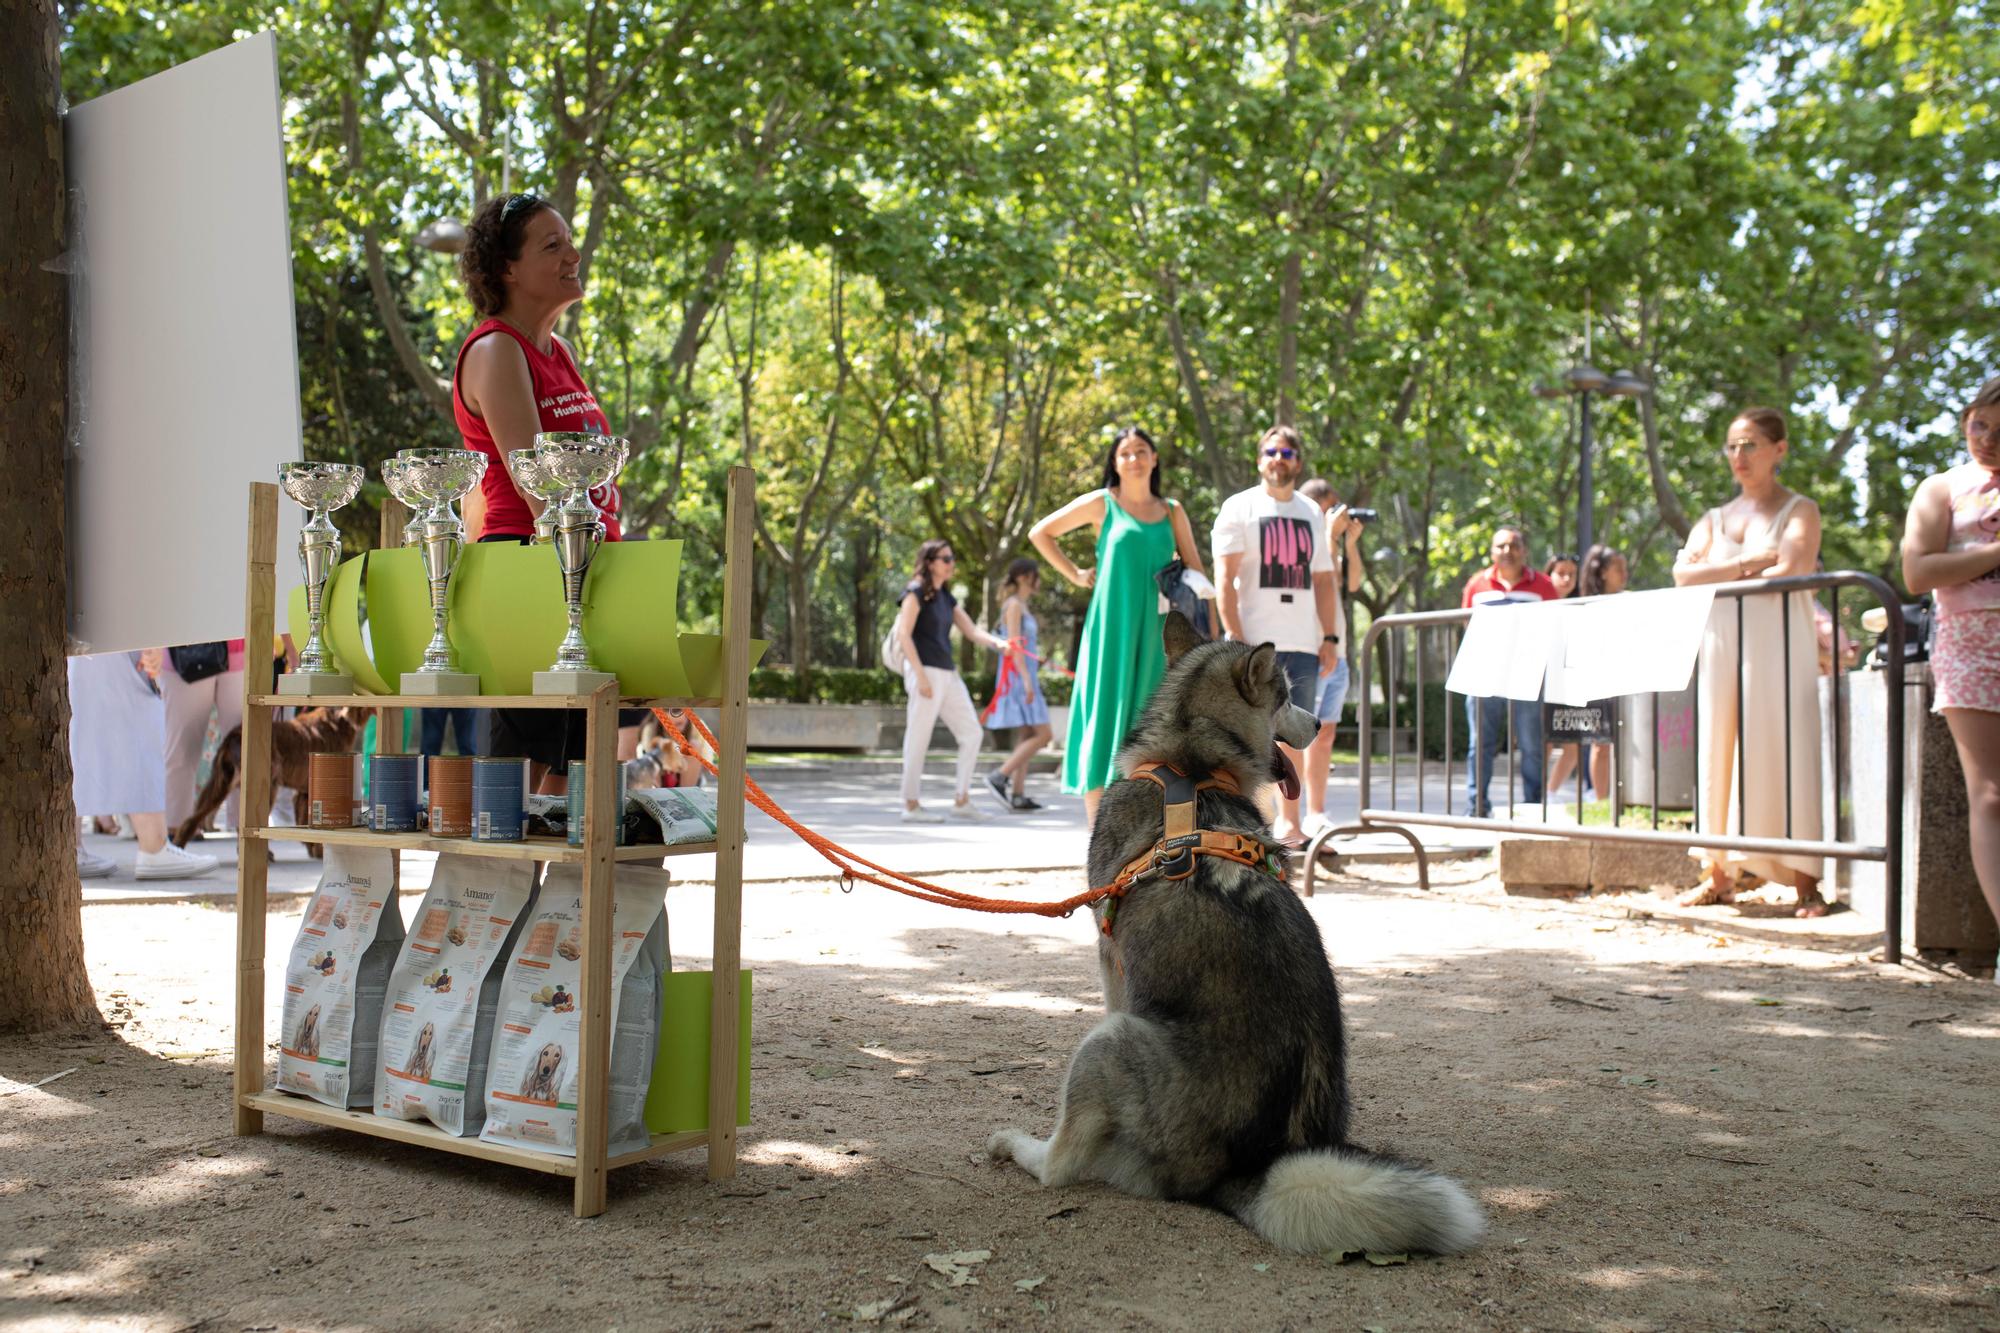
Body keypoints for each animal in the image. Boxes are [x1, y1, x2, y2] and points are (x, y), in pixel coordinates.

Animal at [173, 700, 360, 844]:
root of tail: (233, 736)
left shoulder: (304, 791)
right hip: (267, 786)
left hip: (221, 782)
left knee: (192, 818)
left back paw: (179, 844)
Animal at [988, 608, 1488, 1248]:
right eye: (1289, 696)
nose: (1322, 720)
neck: (1189, 765)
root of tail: (1241, 1169)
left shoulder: (1111, 958)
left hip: (1106, 1043)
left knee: (1061, 1167)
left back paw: (1019, 1147)